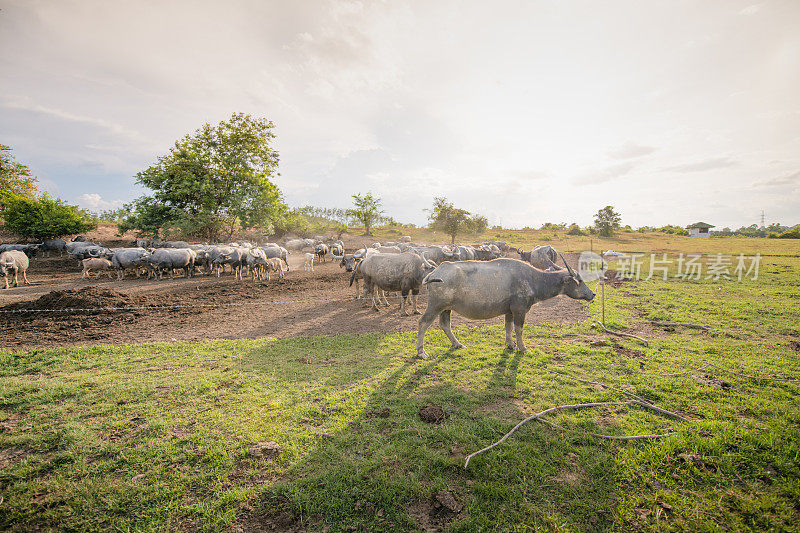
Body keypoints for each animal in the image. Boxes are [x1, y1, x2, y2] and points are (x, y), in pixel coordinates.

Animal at [418, 255, 592, 358]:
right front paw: (523, 348)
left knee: (445, 325)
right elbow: (519, 329)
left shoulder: (509, 311)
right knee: (423, 322)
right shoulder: (520, 310)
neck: (533, 279)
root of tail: (435, 272)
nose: (592, 294)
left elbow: (508, 326)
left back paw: (457, 344)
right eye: (580, 281)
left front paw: (510, 345)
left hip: (446, 308)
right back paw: (421, 352)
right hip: (435, 305)